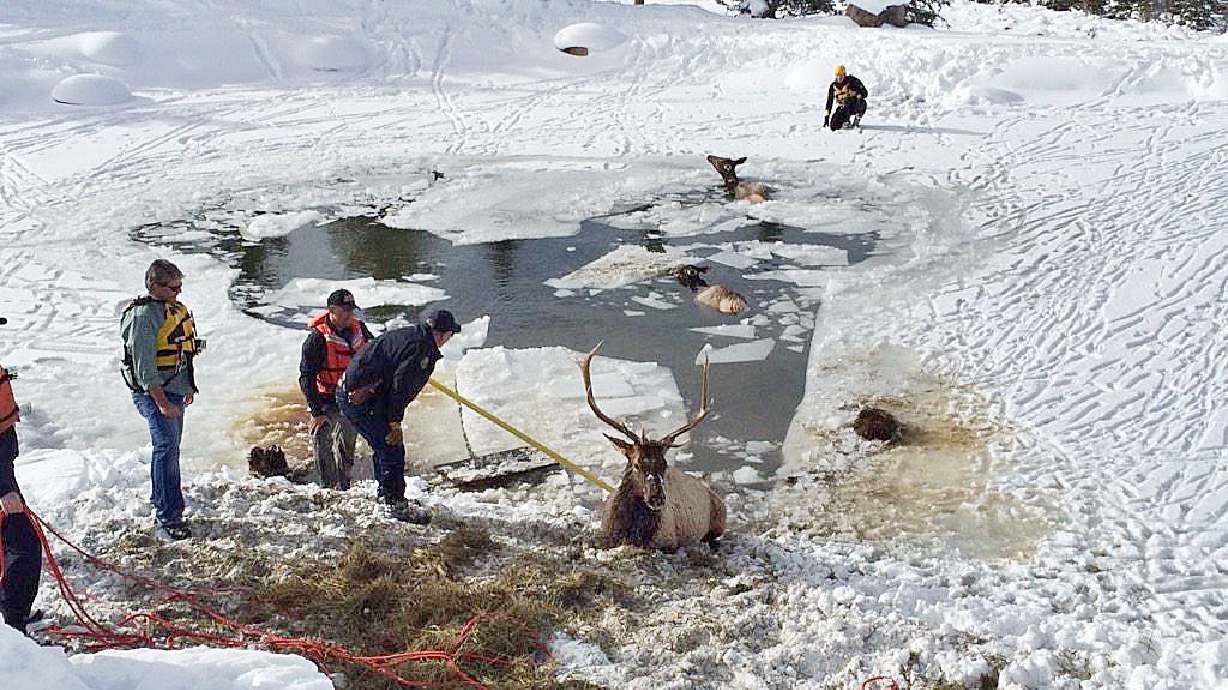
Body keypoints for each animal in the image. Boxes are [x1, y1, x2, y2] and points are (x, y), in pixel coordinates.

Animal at [580, 343, 726, 551]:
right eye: (636, 464)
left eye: (665, 465)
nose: (657, 498)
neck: (630, 531)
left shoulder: (669, 542)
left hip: (720, 519)